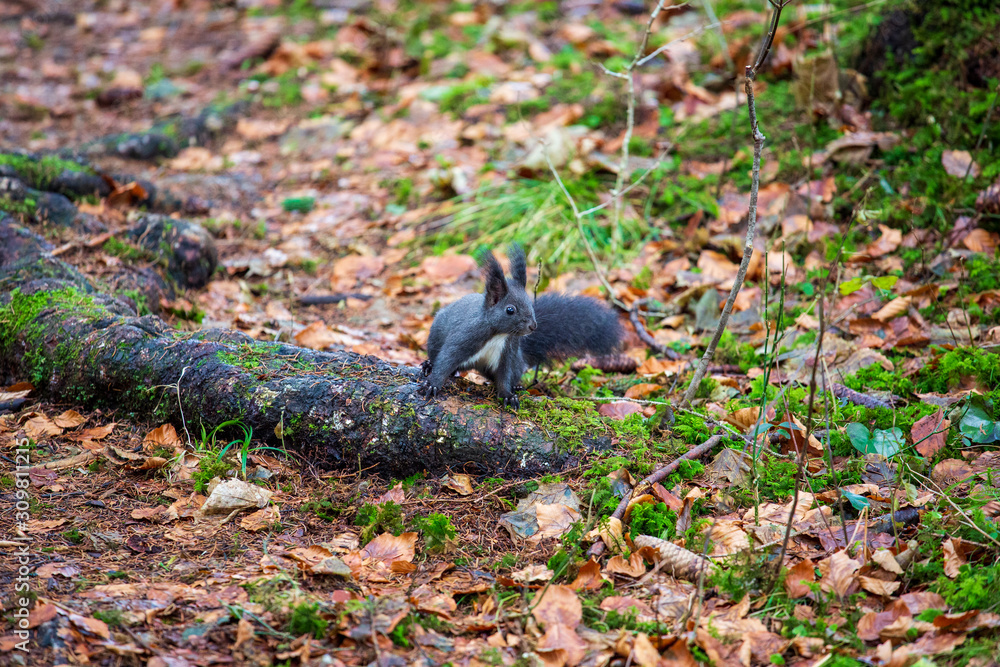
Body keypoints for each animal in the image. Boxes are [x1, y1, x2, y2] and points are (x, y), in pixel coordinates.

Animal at [418, 244, 622, 410]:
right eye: (510, 310)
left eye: (531, 305)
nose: (533, 326)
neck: (498, 334)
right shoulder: (466, 336)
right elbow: (446, 360)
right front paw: (433, 384)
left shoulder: (508, 351)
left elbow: (504, 376)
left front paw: (508, 395)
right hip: (435, 336)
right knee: (439, 357)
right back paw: (428, 364)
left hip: (515, 360)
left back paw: (516, 386)